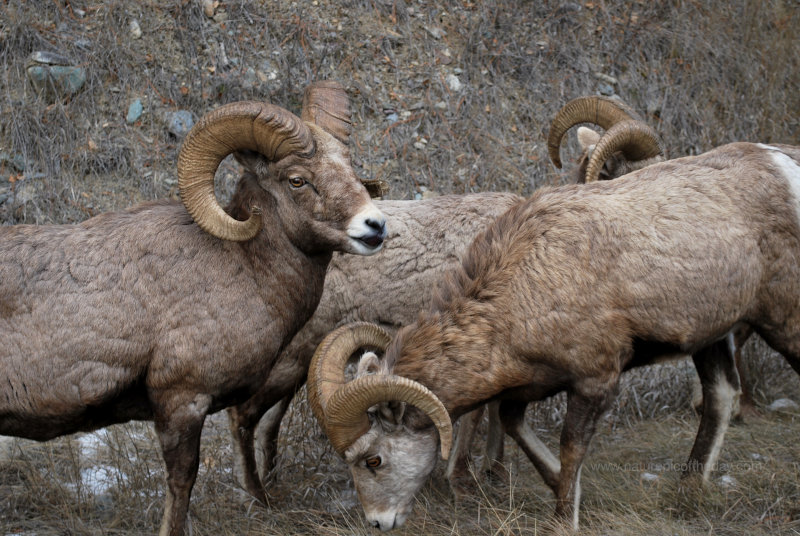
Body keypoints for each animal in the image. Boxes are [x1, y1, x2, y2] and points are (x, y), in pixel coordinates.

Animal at [0, 81, 388, 532]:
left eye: (349, 167)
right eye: (297, 180)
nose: (375, 226)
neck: (243, 266)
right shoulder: (182, 402)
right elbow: (182, 482)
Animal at [225, 95, 664, 502]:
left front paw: (492, 471)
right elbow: (475, 413)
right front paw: (462, 479)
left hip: (301, 363)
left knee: (268, 421)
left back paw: (273, 483)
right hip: (289, 358)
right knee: (243, 414)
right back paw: (257, 496)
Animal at [308, 140, 800, 528]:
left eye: (373, 459)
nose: (378, 522)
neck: (526, 284)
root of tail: (782, 164)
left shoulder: (595, 381)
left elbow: (570, 448)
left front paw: (566, 517)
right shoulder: (532, 384)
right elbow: (513, 423)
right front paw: (564, 489)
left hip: (783, 320)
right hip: (712, 337)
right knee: (721, 397)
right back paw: (688, 488)